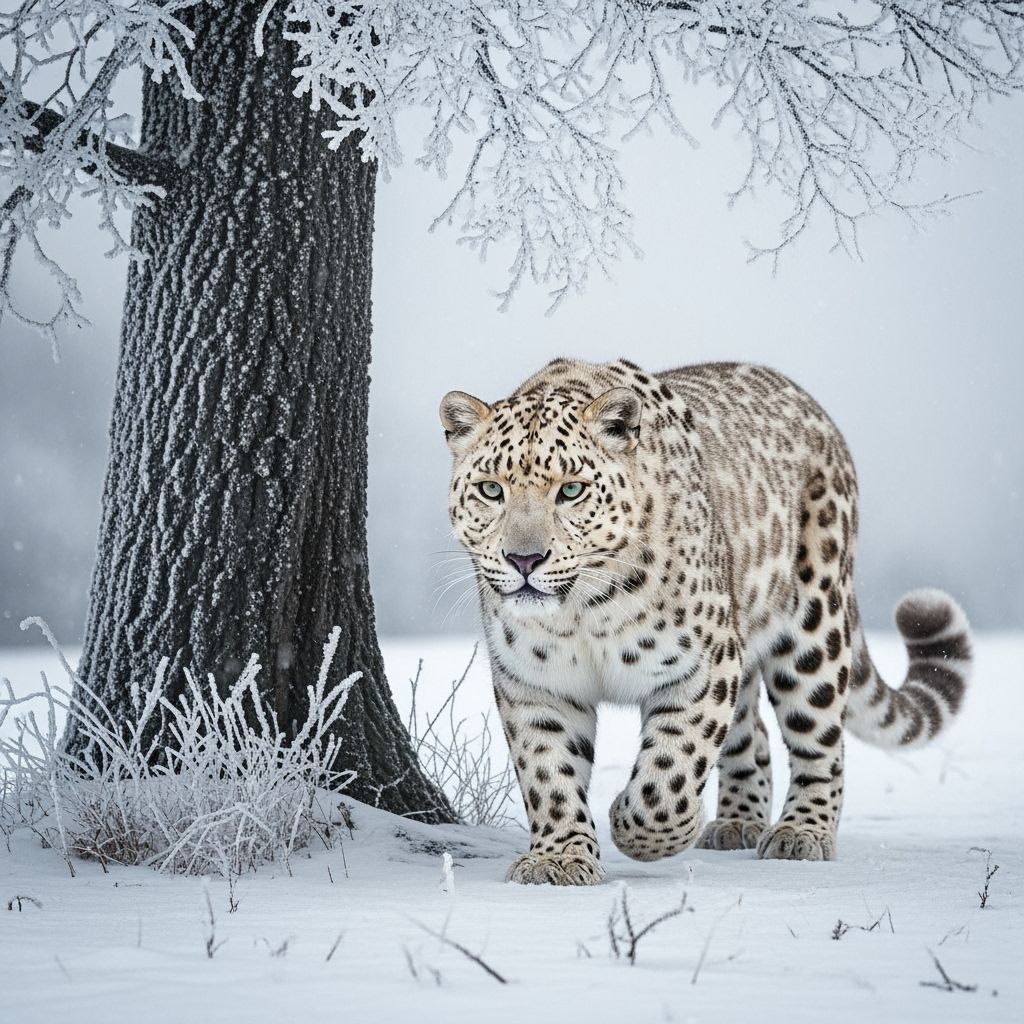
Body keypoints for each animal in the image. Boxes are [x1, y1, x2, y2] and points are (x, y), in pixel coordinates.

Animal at [439, 358, 973, 885]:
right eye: (491, 490)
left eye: (571, 491)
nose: (523, 559)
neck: (580, 613)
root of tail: (814, 407)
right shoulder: (534, 683)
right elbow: (548, 776)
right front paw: (559, 858)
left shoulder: (702, 666)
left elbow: (670, 774)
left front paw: (641, 827)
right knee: (753, 734)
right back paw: (738, 821)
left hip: (813, 624)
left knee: (821, 738)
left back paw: (802, 832)